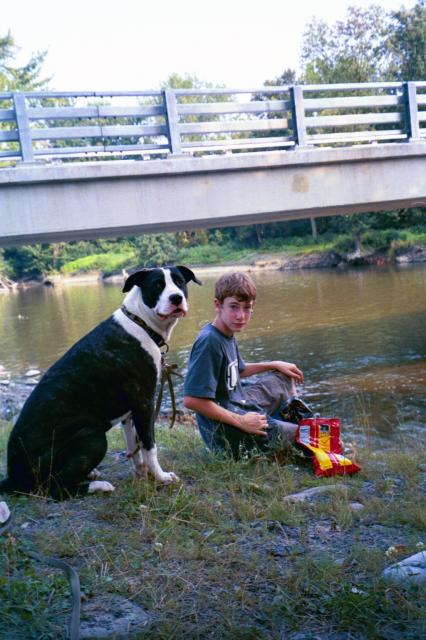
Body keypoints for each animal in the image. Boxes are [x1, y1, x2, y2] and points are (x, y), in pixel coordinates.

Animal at [0, 264, 201, 500]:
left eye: (179, 282)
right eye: (157, 285)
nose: (176, 298)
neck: (140, 322)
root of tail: (13, 476)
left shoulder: (130, 412)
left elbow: (134, 449)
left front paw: (142, 476)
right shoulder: (144, 404)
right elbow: (150, 446)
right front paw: (161, 477)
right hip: (92, 438)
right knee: (55, 488)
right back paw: (98, 486)